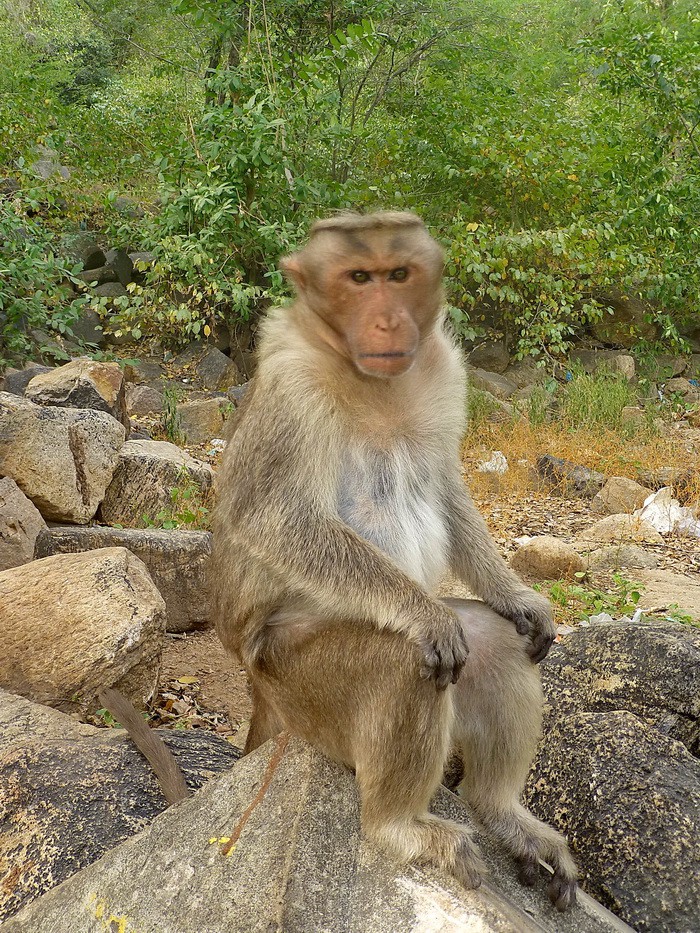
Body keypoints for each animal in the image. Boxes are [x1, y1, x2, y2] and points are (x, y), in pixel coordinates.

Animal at [211, 210, 577, 910]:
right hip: (295, 680)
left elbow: (447, 486)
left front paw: (518, 596)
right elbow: (272, 516)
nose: (386, 320)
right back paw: (396, 826)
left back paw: (499, 811)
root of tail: (250, 674)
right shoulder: (293, 385)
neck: (371, 380)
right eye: (359, 278)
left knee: (492, 642)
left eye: (398, 274)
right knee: (405, 662)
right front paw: (422, 613)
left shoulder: (447, 367)